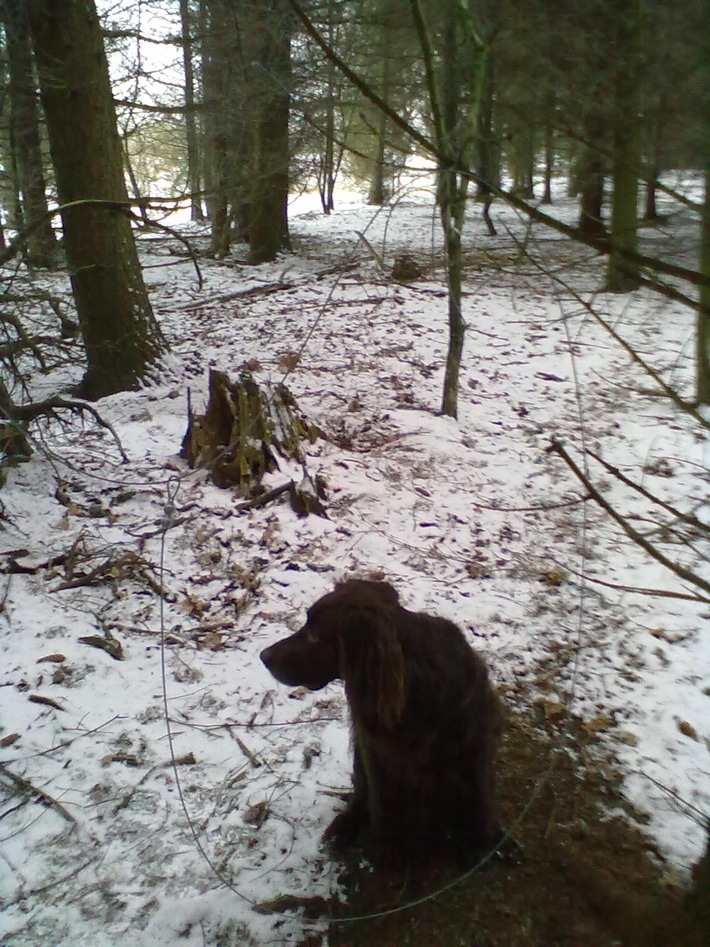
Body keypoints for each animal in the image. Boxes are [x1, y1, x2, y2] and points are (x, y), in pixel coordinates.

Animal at [260, 576, 500, 868]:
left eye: (315, 634)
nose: (264, 656)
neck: (415, 689)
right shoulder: (376, 752)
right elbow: (380, 802)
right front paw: (385, 850)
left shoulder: (471, 748)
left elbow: (477, 798)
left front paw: (479, 842)